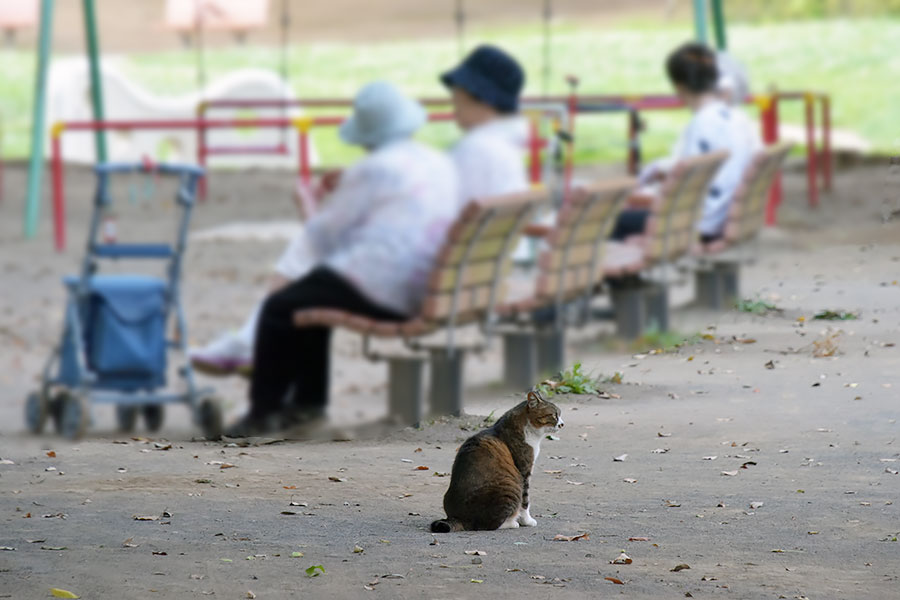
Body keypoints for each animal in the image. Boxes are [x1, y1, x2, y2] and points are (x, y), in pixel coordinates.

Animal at [428, 392, 564, 532]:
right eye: (554, 415)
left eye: (559, 414)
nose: (562, 424)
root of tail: (458, 518)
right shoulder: (524, 471)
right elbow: (525, 501)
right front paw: (527, 521)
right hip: (510, 487)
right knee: (488, 525)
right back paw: (512, 523)